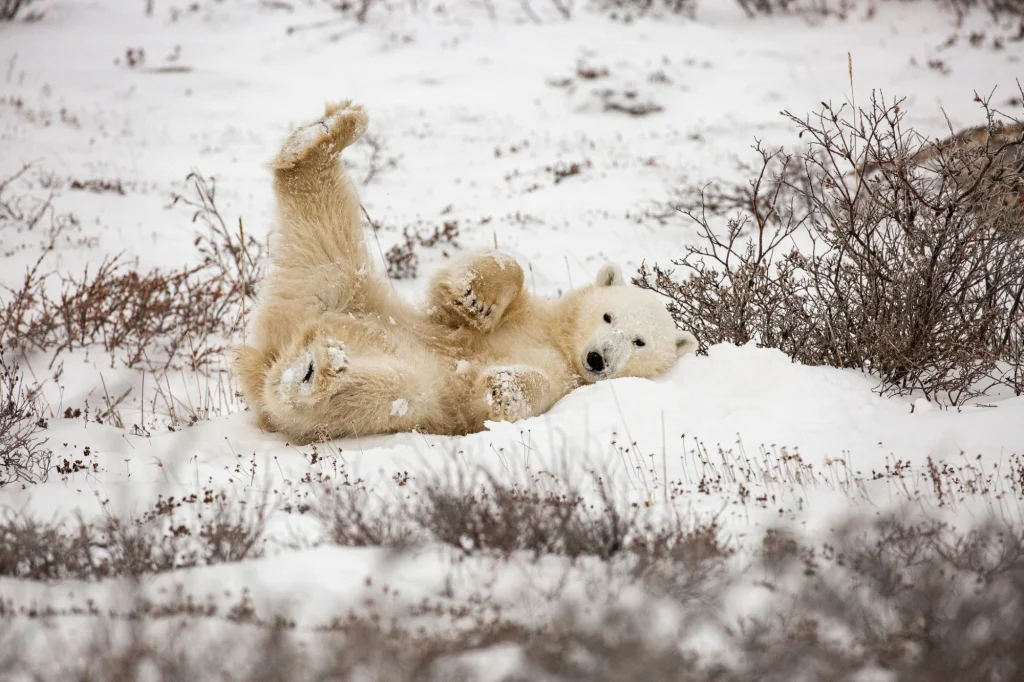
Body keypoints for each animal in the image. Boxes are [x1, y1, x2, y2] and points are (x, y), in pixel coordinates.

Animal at [232, 100, 697, 445]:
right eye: (607, 315)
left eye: (639, 341)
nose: (599, 358)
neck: (561, 340)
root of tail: (270, 350)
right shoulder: (526, 315)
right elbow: (478, 286)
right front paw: (475, 298)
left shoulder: (564, 383)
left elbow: (511, 397)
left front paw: (504, 384)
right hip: (347, 293)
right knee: (326, 227)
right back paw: (329, 132)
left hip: (391, 370)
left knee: (383, 390)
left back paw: (317, 373)